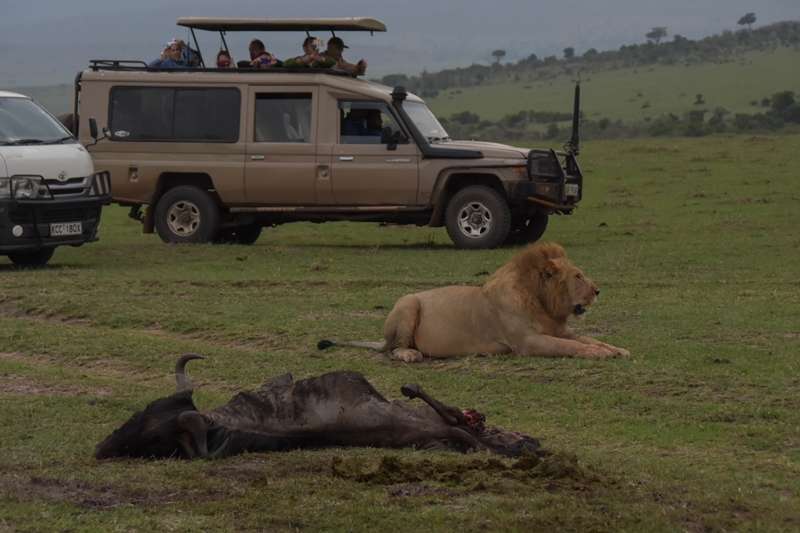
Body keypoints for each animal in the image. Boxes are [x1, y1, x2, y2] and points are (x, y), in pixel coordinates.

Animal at [318, 242, 632, 362]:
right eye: (578, 276)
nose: (598, 291)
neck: (542, 303)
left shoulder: (560, 329)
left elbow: (588, 338)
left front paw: (617, 349)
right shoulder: (528, 343)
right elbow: (569, 347)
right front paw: (600, 354)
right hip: (408, 303)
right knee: (392, 349)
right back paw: (410, 354)